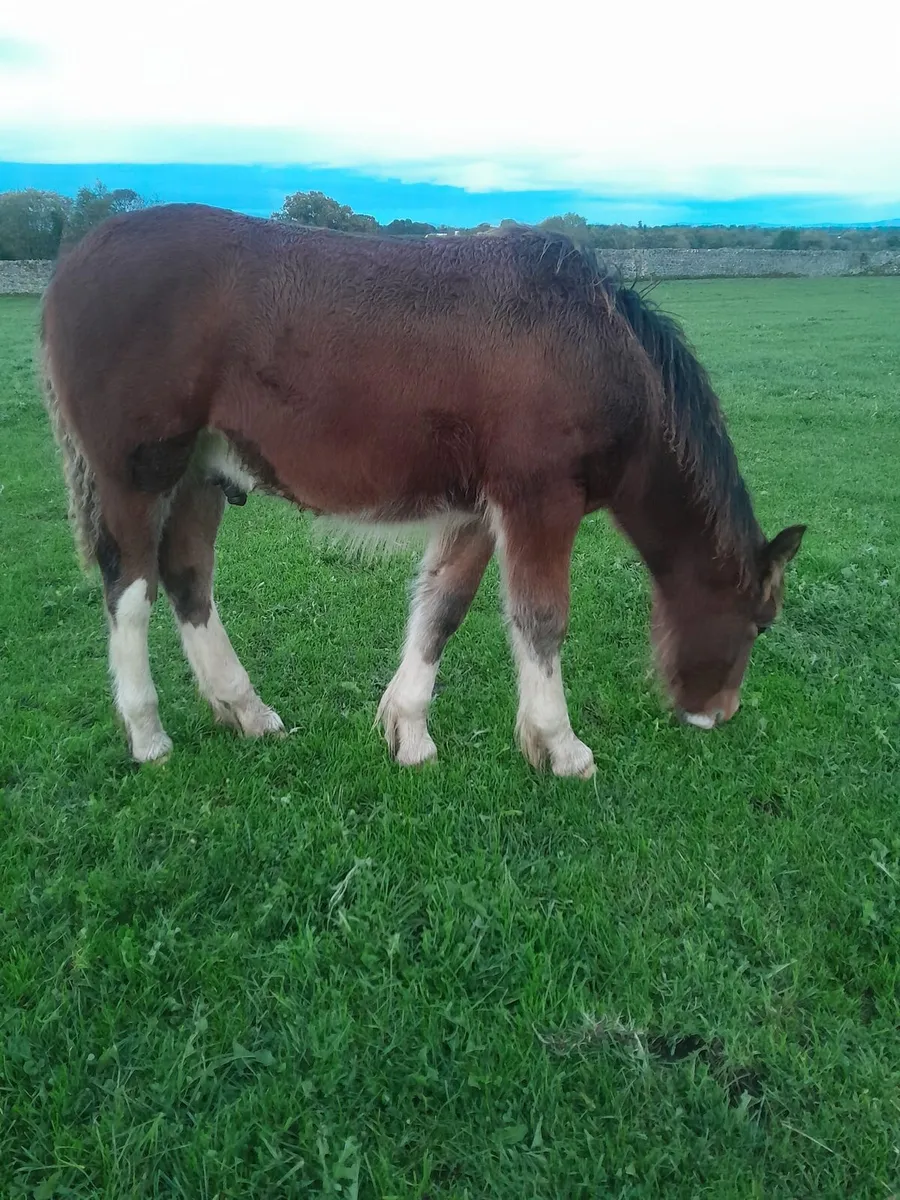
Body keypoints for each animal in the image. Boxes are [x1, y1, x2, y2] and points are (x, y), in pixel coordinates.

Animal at [39, 203, 805, 778]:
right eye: (761, 622)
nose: (719, 713)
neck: (591, 344)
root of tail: (71, 265)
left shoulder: (477, 509)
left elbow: (442, 607)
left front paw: (408, 733)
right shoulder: (540, 501)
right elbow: (541, 619)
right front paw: (560, 747)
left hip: (201, 469)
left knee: (186, 576)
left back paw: (247, 711)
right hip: (137, 475)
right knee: (130, 588)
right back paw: (147, 734)